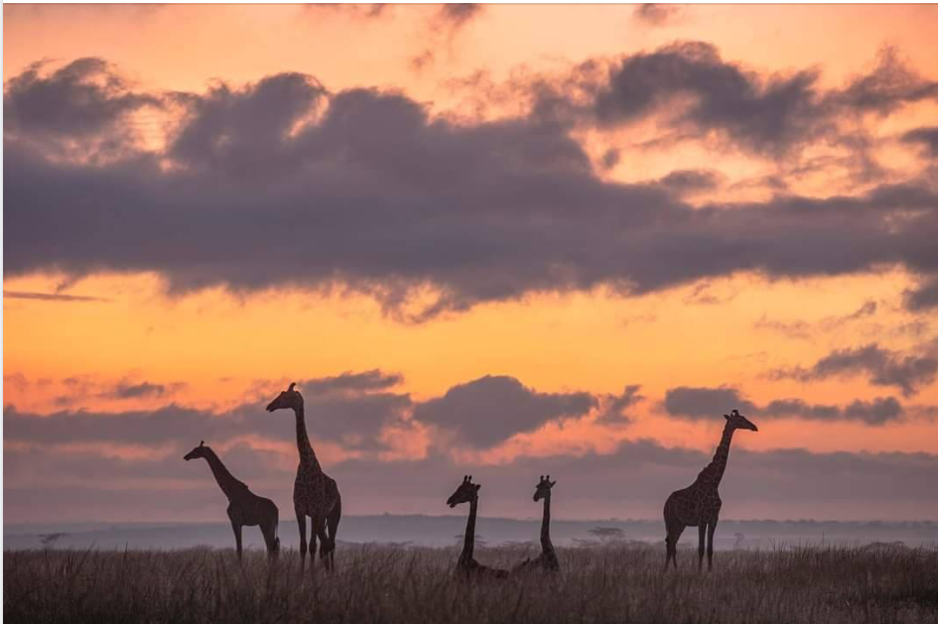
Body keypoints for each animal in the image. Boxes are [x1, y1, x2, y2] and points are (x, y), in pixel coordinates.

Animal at [266, 382, 341, 573]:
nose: (269, 406)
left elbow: (312, 546)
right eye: (280, 394)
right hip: (322, 518)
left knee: (331, 544)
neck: (306, 464)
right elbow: (303, 545)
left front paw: (312, 575)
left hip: (333, 515)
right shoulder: (300, 509)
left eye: (288, 396)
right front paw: (301, 574)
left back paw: (332, 573)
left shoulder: (314, 510)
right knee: (326, 543)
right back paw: (327, 571)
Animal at [663, 409, 758, 571]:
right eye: (740, 419)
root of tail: (666, 502)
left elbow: (710, 549)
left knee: (672, 544)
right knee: (670, 544)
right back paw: (668, 570)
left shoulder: (714, 518)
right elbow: (701, 549)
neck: (715, 482)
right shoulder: (702, 519)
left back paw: (673, 571)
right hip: (670, 520)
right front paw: (699, 572)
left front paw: (709, 571)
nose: (754, 427)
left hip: (680, 523)